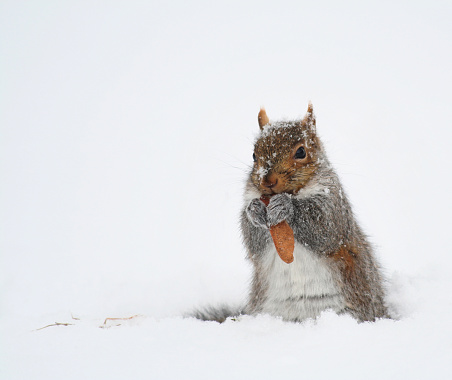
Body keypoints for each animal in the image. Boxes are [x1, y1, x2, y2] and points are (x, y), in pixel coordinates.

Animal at [193, 104, 388, 324]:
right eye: (253, 155)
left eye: (301, 151)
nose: (267, 181)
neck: (293, 193)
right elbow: (254, 243)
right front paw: (254, 211)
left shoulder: (333, 204)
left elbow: (324, 229)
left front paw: (286, 207)